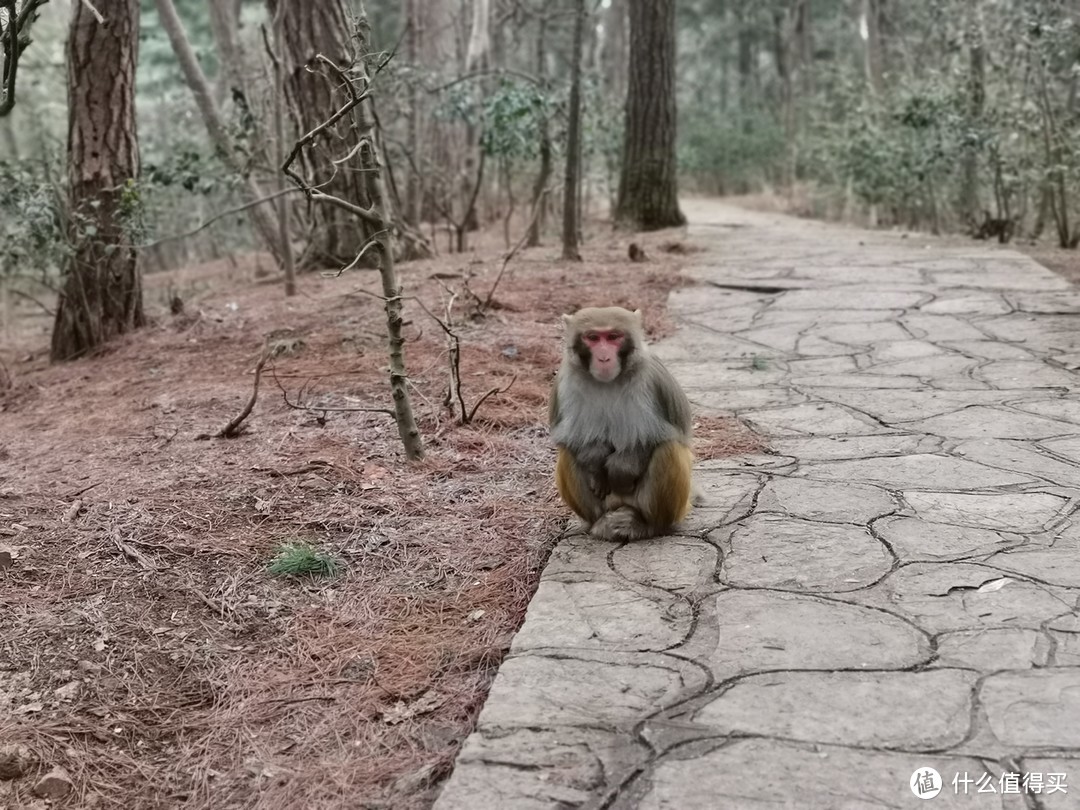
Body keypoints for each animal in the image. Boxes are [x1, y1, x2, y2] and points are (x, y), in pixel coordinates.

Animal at [548, 306, 691, 542]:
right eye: (593, 338)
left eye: (613, 337)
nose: (604, 357)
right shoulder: (564, 383)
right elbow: (568, 437)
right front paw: (595, 460)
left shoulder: (654, 379)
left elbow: (668, 434)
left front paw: (621, 468)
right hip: (603, 505)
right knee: (567, 452)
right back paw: (598, 523)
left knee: (667, 449)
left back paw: (647, 526)